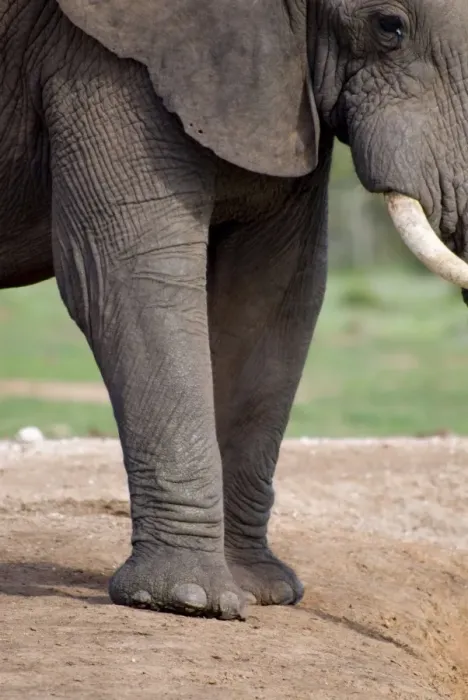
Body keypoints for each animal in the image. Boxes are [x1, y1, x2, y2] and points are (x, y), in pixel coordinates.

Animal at [2, 0, 468, 621]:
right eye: (389, 27)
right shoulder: (97, 52)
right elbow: (132, 271)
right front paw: (188, 600)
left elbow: (272, 291)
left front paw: (262, 593)